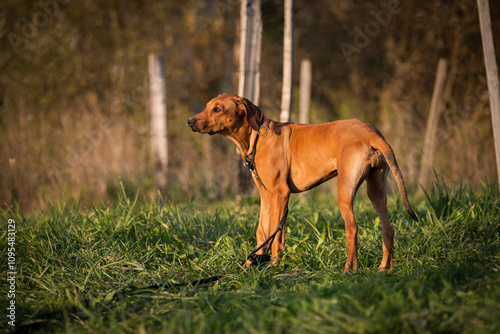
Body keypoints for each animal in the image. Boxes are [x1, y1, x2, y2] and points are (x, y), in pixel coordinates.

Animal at [188, 93, 418, 272]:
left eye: (217, 109)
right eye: (207, 106)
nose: (190, 121)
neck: (258, 137)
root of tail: (371, 131)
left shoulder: (279, 193)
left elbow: (276, 234)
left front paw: (273, 266)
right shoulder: (266, 196)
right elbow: (264, 231)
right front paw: (253, 264)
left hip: (344, 189)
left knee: (352, 227)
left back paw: (349, 269)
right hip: (376, 190)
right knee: (388, 228)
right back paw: (385, 268)